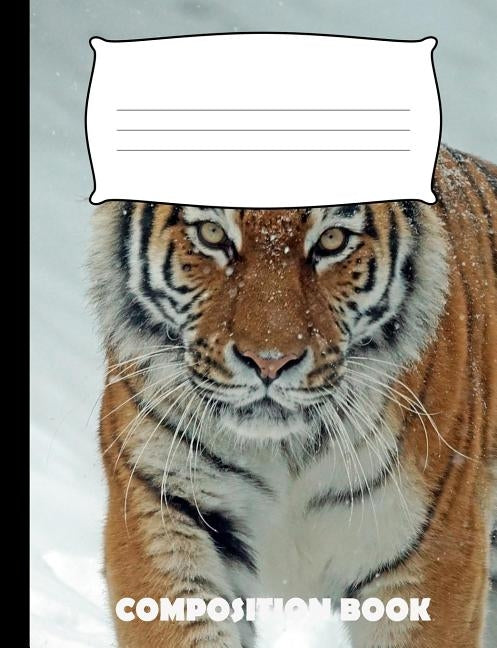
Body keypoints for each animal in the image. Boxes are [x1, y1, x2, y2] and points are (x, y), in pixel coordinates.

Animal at [90, 144, 497, 648]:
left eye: (332, 241)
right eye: (211, 233)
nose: (269, 362)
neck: (284, 451)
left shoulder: (434, 551)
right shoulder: (161, 506)